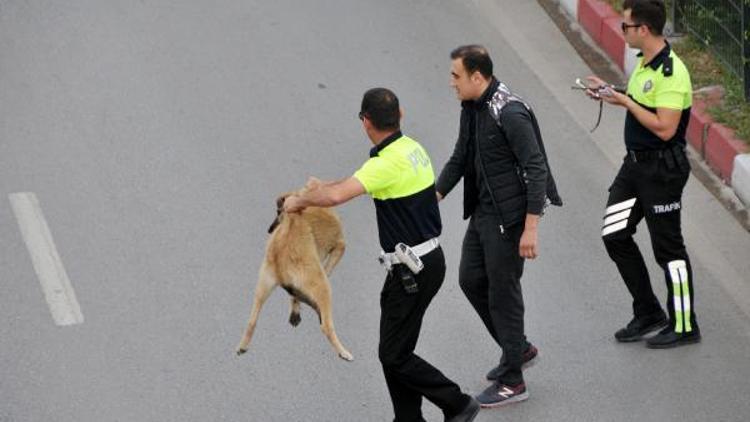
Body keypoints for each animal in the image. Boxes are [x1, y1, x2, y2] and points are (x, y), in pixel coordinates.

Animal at [236, 180, 354, 362]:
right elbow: (327, 270)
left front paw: (295, 310)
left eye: (278, 212)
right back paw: (343, 352)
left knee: (251, 321)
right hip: (323, 288)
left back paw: (242, 347)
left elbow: (294, 296)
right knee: (326, 326)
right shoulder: (339, 247)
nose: (269, 230)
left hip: (262, 287)